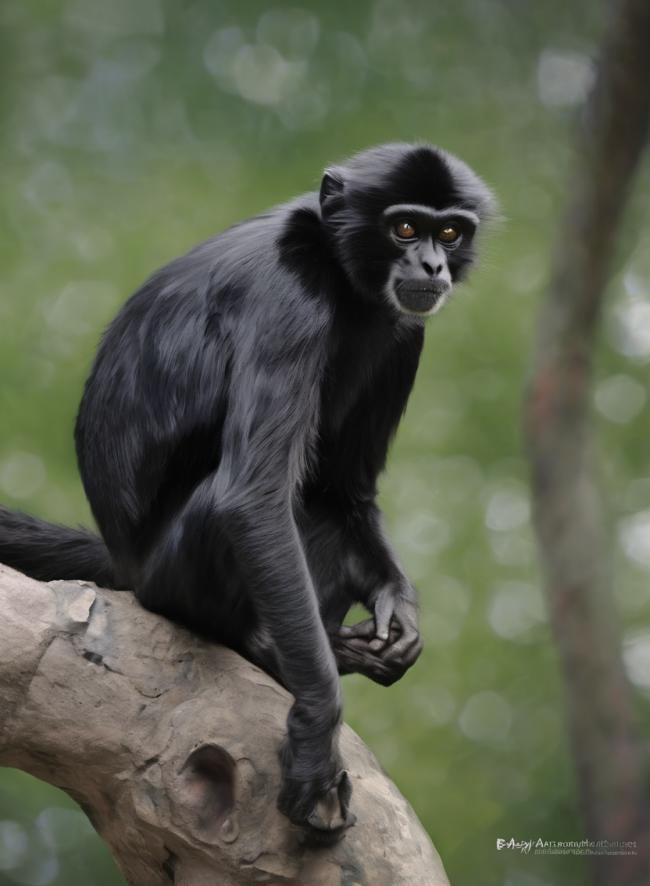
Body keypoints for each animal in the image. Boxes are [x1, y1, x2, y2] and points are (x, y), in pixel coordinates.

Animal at [0, 143, 495, 842]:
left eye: (449, 233)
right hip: (169, 574)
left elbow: (346, 490)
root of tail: (126, 560)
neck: (335, 270)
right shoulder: (290, 293)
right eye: (405, 227)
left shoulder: (406, 330)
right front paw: (316, 734)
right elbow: (252, 494)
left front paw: (398, 606)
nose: (431, 264)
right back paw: (261, 646)